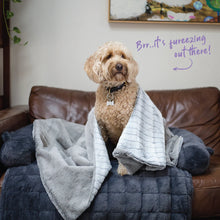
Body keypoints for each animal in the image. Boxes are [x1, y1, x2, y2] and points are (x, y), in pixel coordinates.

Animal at [84, 41, 139, 175]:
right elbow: (103, 146)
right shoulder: (101, 126)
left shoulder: (126, 123)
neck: (114, 90)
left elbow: (123, 150)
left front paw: (124, 169)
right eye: (108, 56)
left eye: (123, 56)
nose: (119, 66)